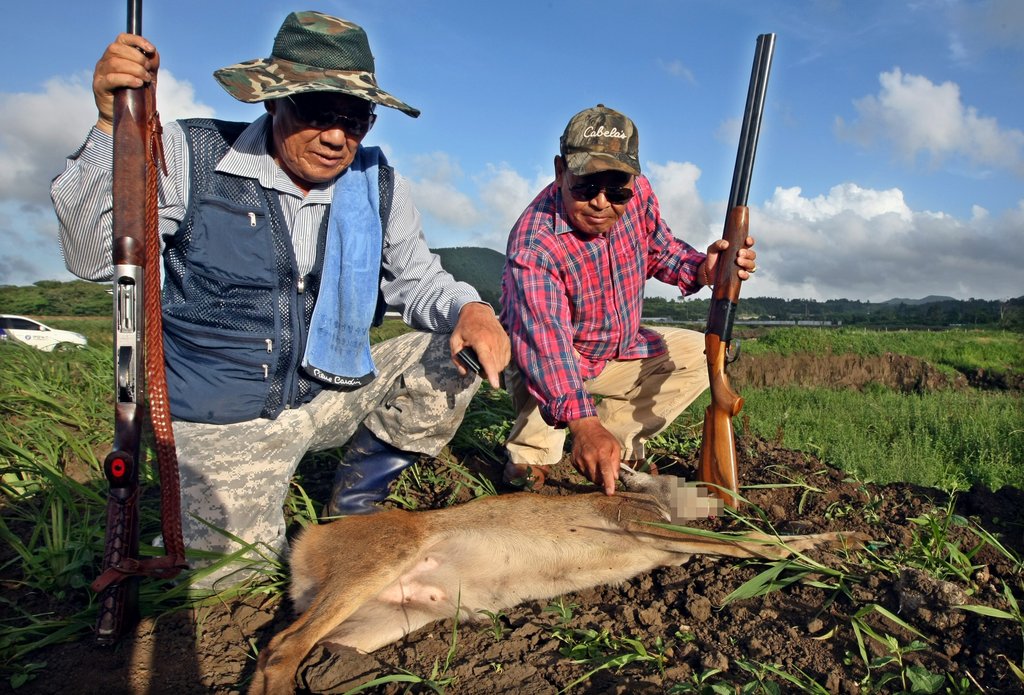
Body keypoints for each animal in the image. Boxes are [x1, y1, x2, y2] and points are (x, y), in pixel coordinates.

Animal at [247, 466, 864, 695]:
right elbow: (754, 544)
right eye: (686, 480)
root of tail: (303, 543)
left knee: (284, 648)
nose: (719, 493)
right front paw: (836, 548)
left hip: (384, 621)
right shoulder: (643, 526)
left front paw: (842, 542)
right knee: (283, 645)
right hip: (380, 559)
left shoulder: (668, 550)